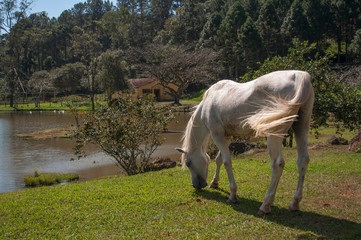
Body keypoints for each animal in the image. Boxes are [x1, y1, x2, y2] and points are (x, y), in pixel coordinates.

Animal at [175, 69, 312, 214]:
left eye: (188, 163)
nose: (196, 185)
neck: (209, 100)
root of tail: (299, 75)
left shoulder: (217, 134)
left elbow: (226, 161)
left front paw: (232, 195)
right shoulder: (226, 136)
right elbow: (218, 160)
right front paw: (215, 183)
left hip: (274, 134)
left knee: (277, 164)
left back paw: (265, 205)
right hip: (301, 128)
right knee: (303, 160)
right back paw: (295, 203)